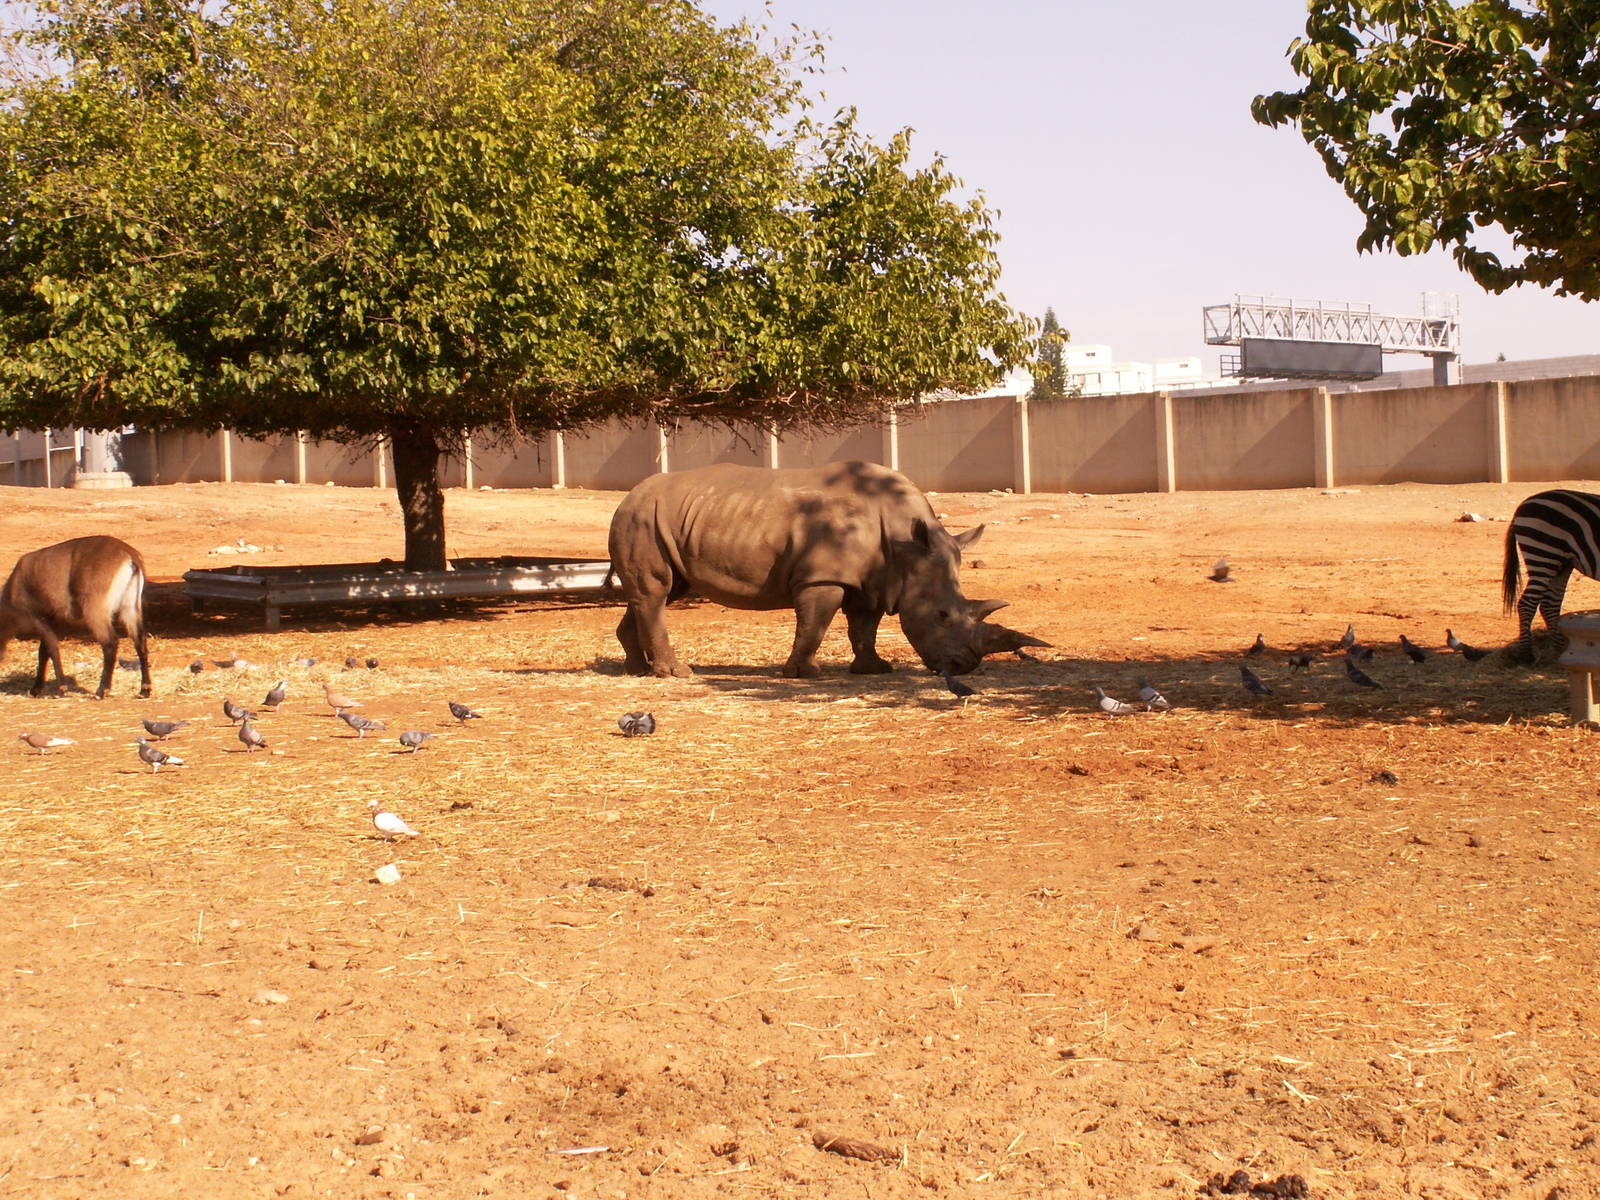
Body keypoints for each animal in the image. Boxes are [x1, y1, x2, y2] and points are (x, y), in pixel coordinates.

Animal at [607, 460, 1046, 679]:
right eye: (941, 615)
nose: (965, 667)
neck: (906, 545)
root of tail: (629, 495)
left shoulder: (874, 579)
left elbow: (863, 627)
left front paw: (874, 670)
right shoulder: (824, 577)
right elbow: (815, 624)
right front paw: (805, 674)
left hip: (661, 519)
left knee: (659, 592)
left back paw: (636, 671)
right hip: (642, 517)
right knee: (658, 591)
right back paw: (677, 674)